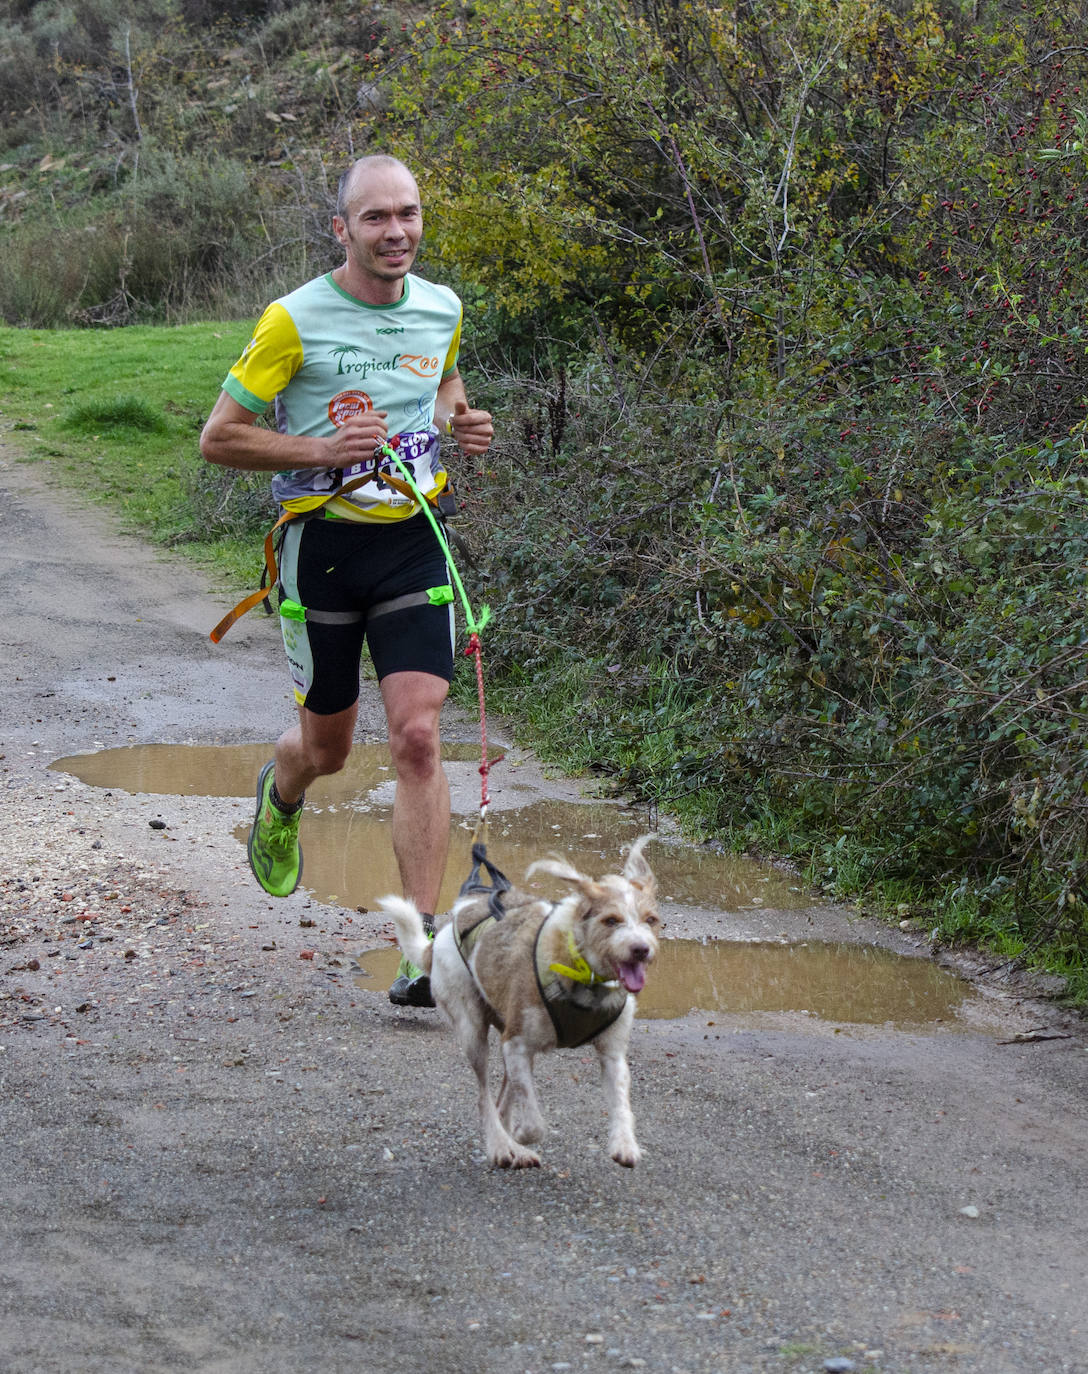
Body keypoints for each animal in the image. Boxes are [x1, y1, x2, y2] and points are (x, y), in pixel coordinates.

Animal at [379, 835, 659, 1170]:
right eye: (611, 921)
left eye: (651, 920)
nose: (641, 949)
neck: (582, 973)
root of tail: (440, 938)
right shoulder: (516, 1044)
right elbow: (535, 1124)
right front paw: (523, 1136)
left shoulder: (611, 1055)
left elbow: (621, 1102)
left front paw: (624, 1143)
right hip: (474, 1031)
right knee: (484, 1098)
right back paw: (502, 1145)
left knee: (504, 1096)